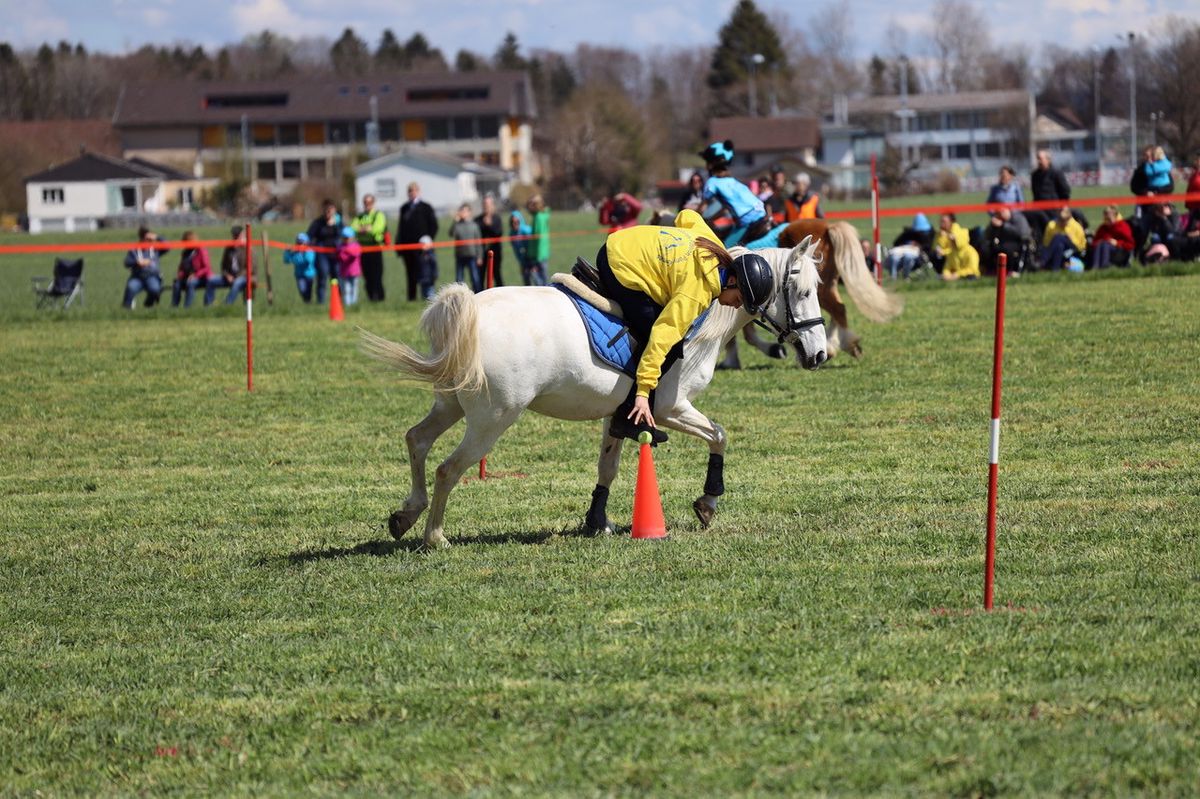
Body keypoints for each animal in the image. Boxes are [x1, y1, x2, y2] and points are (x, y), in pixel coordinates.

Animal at [361, 241, 828, 549]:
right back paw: (434, 536)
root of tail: (472, 311)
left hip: (451, 403)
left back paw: (406, 515)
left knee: (417, 440)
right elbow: (719, 434)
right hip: (492, 419)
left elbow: (609, 467)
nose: (820, 354)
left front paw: (596, 520)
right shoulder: (672, 408)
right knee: (448, 468)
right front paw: (708, 502)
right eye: (804, 293)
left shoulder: (619, 414)